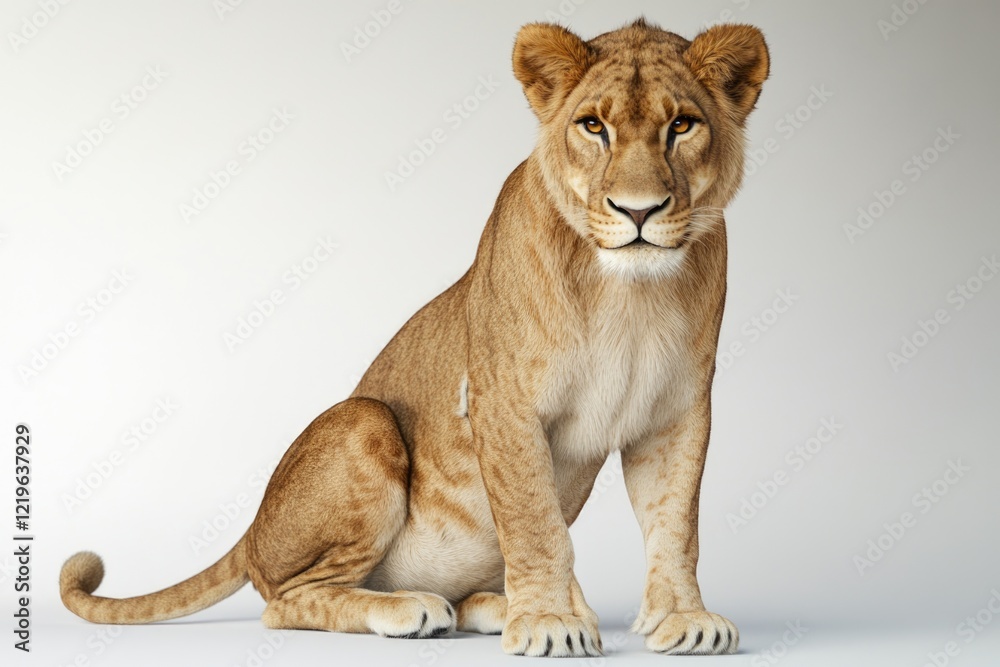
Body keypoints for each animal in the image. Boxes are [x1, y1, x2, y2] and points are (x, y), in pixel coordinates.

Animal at [61, 18, 769, 657]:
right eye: (593, 126)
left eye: (683, 125)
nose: (638, 211)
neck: (628, 292)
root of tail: (254, 531)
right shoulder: (503, 401)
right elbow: (534, 520)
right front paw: (548, 623)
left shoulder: (677, 413)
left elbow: (675, 522)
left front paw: (684, 620)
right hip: (364, 422)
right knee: (286, 599)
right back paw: (414, 609)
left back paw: (503, 606)